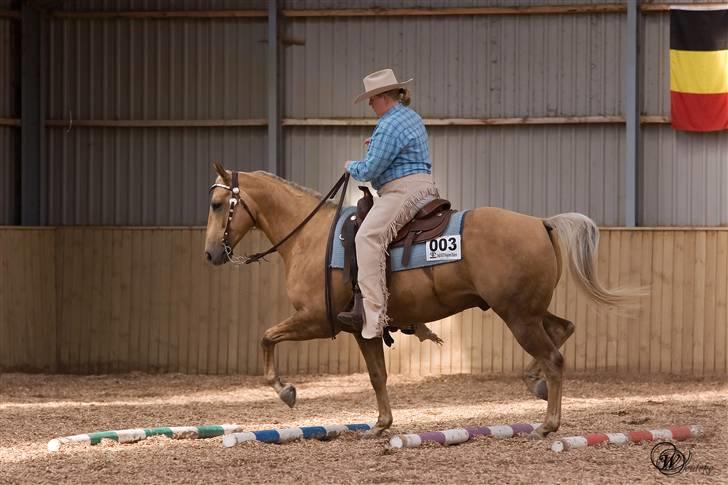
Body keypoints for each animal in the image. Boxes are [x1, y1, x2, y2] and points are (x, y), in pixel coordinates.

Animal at [203, 164, 636, 438]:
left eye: (217, 205)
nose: (210, 254)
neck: (312, 237)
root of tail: (541, 223)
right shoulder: (360, 328)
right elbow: (378, 375)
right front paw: (381, 423)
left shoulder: (316, 320)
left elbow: (266, 336)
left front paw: (285, 390)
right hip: (529, 312)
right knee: (564, 330)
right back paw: (536, 384)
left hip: (518, 316)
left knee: (555, 358)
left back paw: (548, 423)